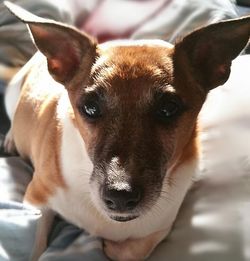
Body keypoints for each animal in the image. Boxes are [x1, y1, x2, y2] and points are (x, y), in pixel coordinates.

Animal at [2, 2, 250, 260]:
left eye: (168, 109)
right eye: (90, 108)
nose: (120, 197)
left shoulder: (161, 225)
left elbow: (131, 250)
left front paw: (110, 246)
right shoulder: (36, 198)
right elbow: (37, 243)